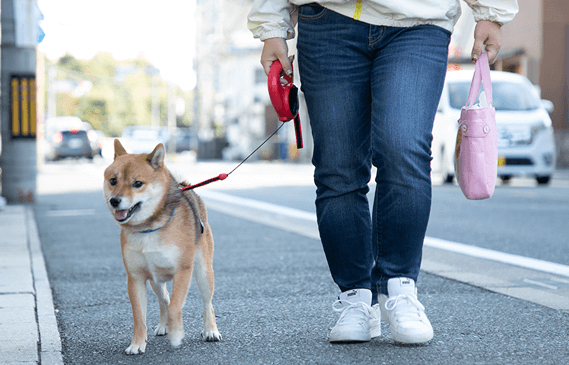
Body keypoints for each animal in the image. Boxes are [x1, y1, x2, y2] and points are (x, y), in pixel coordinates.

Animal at [103, 139, 221, 352]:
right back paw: (163, 326)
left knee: (207, 302)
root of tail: (186, 188)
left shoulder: (183, 271)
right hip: (155, 280)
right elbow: (139, 316)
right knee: (164, 298)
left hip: (203, 271)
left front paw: (176, 334)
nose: (114, 201)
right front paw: (137, 344)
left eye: (137, 183)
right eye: (113, 180)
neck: (149, 229)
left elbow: (175, 307)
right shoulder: (136, 278)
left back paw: (210, 330)